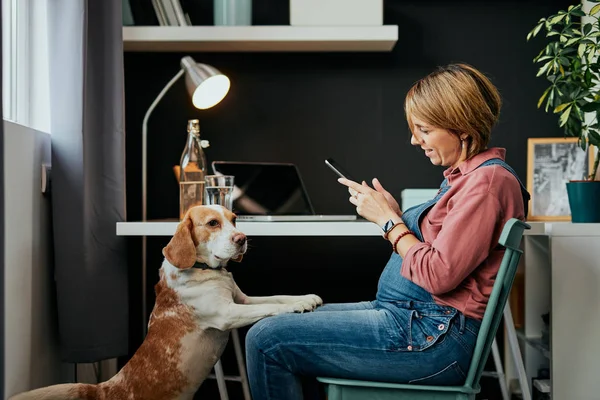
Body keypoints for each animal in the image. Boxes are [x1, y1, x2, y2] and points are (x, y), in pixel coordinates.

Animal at [9, 206, 322, 400]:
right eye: (213, 223)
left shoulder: (241, 299)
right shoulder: (228, 313)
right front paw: (296, 307)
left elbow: (276, 297)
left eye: (234, 219)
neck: (204, 269)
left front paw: (306, 297)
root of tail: (102, 389)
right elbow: (268, 307)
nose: (242, 238)